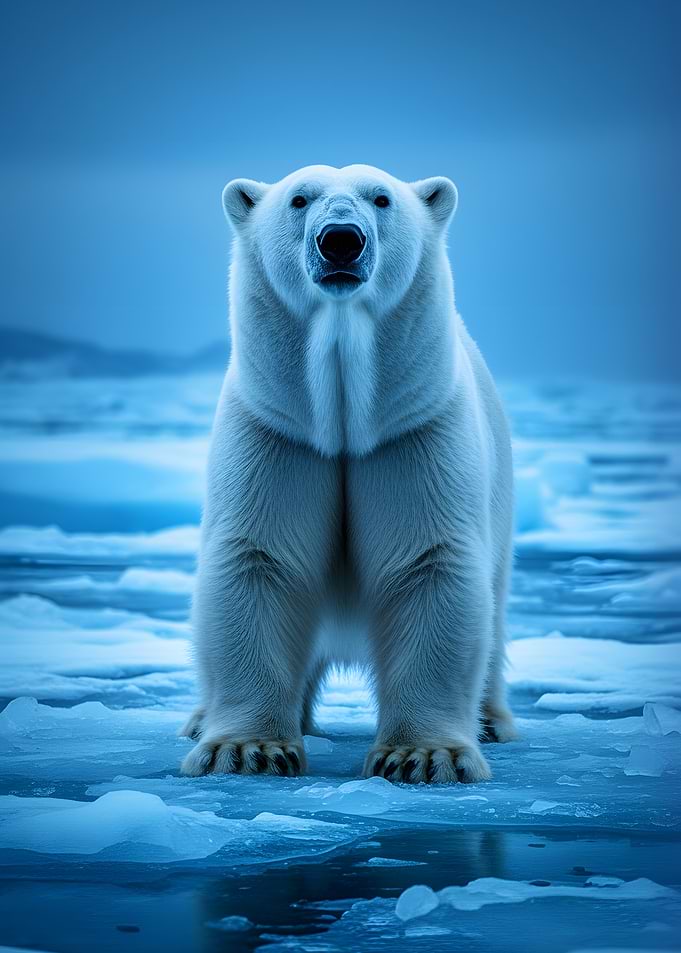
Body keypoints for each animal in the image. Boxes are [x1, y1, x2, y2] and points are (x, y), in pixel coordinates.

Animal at [180, 164, 518, 784]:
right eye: (299, 199)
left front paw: (423, 756)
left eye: (381, 198)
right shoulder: (277, 433)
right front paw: (245, 750)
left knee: (495, 606)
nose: (341, 240)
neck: (341, 421)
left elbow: (431, 565)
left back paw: (490, 722)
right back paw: (198, 717)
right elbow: (257, 561)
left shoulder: (412, 434)